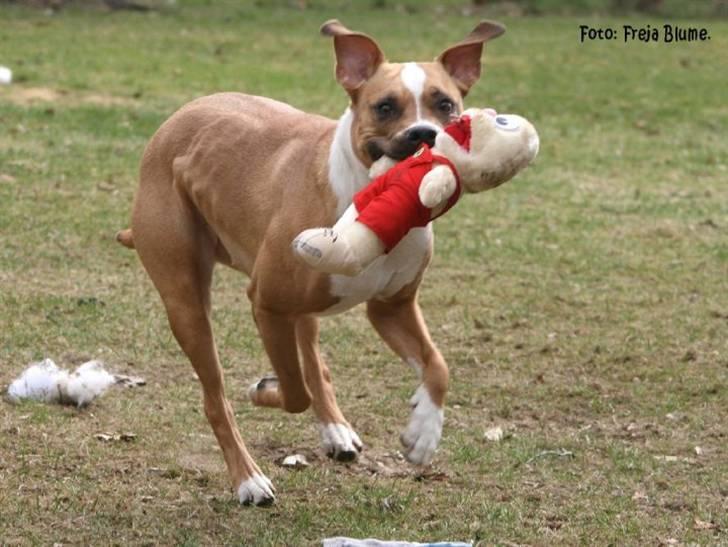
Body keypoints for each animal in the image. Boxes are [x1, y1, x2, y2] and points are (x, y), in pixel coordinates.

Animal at [118, 18, 506, 506]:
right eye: (384, 107)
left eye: (446, 105)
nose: (425, 135)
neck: (378, 203)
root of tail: (176, 119)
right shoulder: (266, 304)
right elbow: (293, 391)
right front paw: (265, 390)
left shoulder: (392, 308)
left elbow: (437, 366)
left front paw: (423, 432)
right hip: (187, 303)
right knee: (216, 397)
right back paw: (248, 478)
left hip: (299, 307)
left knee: (314, 362)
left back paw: (337, 430)